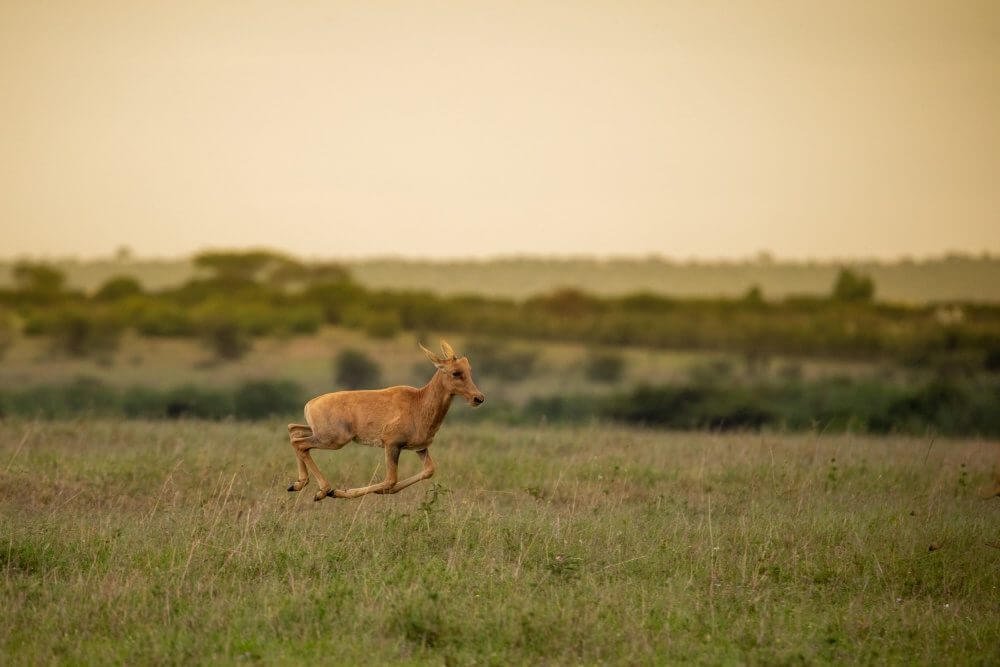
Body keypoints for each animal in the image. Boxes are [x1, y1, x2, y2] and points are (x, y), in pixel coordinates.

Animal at [286, 340, 485, 501]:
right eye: (455, 372)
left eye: (469, 370)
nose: (478, 398)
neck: (418, 401)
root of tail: (311, 403)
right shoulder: (392, 445)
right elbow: (390, 480)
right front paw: (340, 492)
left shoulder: (420, 448)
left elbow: (429, 471)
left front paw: (380, 492)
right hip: (333, 440)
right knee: (300, 443)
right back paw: (323, 491)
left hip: (319, 433)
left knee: (294, 431)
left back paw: (298, 484)